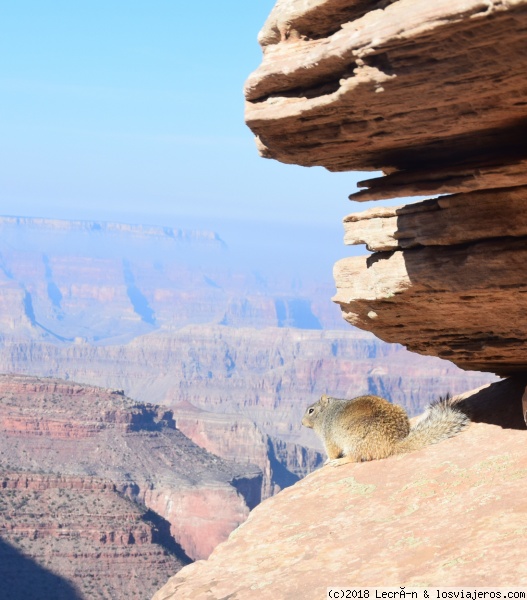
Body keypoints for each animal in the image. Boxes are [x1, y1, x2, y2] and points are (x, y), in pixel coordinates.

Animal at [302, 392, 470, 466]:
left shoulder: (328, 436)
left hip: (353, 442)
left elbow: (331, 450)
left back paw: (340, 461)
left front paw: (328, 460)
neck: (327, 412)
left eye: (311, 410)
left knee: (355, 457)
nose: (302, 423)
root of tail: (393, 444)